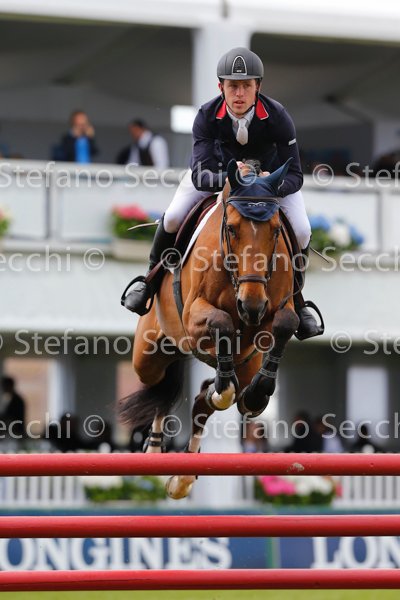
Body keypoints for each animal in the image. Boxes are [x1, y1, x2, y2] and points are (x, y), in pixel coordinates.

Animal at [118, 159, 300, 499]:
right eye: (231, 228)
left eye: (275, 230)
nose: (251, 306)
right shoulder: (193, 315)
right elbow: (221, 322)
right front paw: (226, 389)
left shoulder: (274, 312)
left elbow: (287, 324)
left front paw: (257, 393)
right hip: (149, 356)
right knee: (161, 386)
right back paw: (156, 451)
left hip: (244, 362)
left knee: (202, 401)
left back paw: (183, 477)